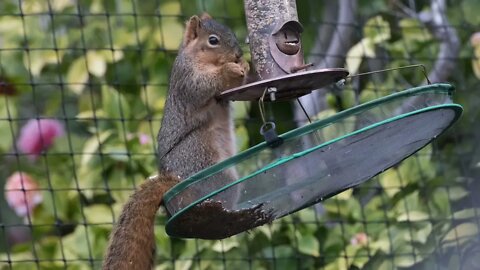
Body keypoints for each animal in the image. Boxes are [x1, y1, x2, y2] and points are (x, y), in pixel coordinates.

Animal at [103, 13, 249, 268]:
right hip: (201, 157)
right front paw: (229, 70)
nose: (238, 55)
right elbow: (202, 87)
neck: (199, 58)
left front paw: (246, 66)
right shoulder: (187, 79)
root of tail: (174, 179)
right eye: (213, 40)